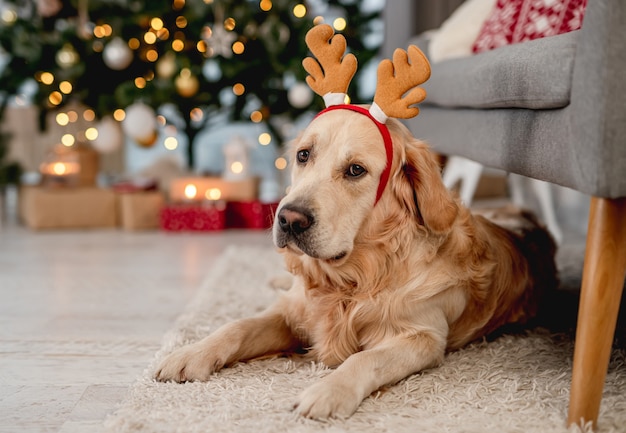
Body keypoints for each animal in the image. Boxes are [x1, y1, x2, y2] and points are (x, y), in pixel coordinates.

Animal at [156, 108, 556, 418]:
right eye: (303, 155)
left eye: (355, 170)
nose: (289, 219)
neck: (352, 279)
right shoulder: (294, 313)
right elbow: (236, 326)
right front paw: (189, 354)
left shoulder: (423, 338)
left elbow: (363, 359)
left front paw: (327, 392)